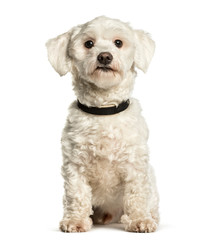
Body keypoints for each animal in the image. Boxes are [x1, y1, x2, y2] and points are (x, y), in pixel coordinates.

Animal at [46, 16, 159, 232]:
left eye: (118, 43)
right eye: (89, 43)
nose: (104, 56)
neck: (104, 109)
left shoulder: (135, 164)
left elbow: (137, 194)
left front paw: (139, 220)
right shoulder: (75, 165)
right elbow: (77, 194)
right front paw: (75, 221)